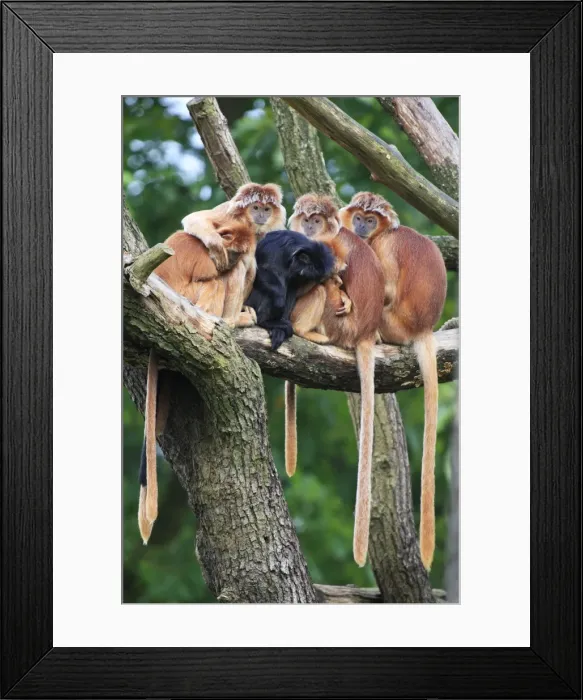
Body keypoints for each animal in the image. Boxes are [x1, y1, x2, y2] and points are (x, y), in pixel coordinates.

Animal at [137, 216, 257, 546]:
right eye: (234, 251)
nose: (233, 259)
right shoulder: (209, 257)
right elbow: (216, 273)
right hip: (190, 299)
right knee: (215, 281)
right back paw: (228, 321)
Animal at [287, 193, 386, 568]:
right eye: (306, 219)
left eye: (316, 220)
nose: (309, 226)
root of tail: (365, 332)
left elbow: (333, 272)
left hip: (338, 323)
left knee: (320, 287)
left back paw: (306, 331)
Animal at [340, 191, 447, 571]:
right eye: (359, 217)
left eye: (371, 220)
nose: (360, 227)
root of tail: (423, 327)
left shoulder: (383, 245)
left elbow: (383, 287)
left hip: (392, 323)